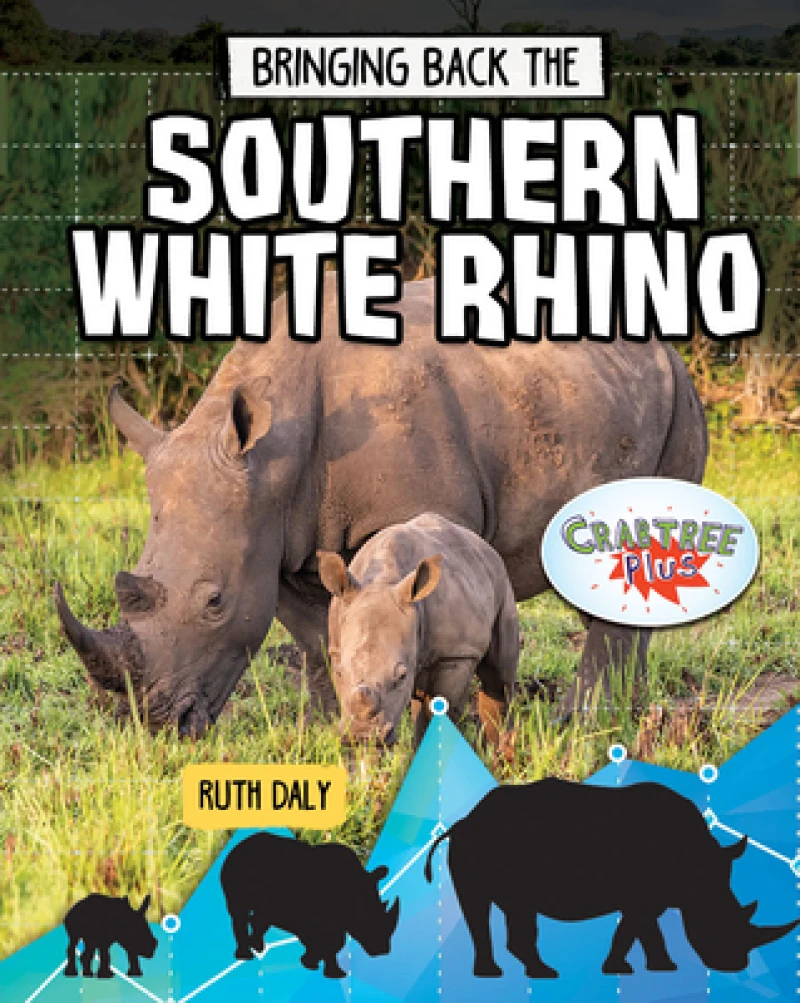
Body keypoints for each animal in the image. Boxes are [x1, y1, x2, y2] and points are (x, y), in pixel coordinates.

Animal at [220, 832, 400, 978]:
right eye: (365, 918)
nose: (382, 951)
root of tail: (237, 847)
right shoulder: (312, 917)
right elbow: (326, 941)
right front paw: (312, 964)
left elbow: (335, 942)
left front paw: (331, 971)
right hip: (235, 871)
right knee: (239, 913)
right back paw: (246, 955)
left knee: (262, 915)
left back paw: (258, 947)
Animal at [318, 512, 519, 746]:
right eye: (339, 672)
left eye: (402, 676)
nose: (362, 735)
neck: (384, 581)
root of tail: (485, 547)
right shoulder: (337, 647)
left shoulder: (457, 654)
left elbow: (442, 710)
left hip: (500, 580)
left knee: (498, 678)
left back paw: (500, 750)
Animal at [425, 779, 799, 978]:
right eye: (719, 926)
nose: (735, 967)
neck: (697, 870)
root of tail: (465, 820)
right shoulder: (642, 895)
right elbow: (632, 930)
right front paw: (621, 969)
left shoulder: (652, 896)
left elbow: (646, 931)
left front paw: (661, 968)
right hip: (485, 844)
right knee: (499, 908)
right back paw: (537, 974)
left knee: (503, 909)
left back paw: (510, 973)